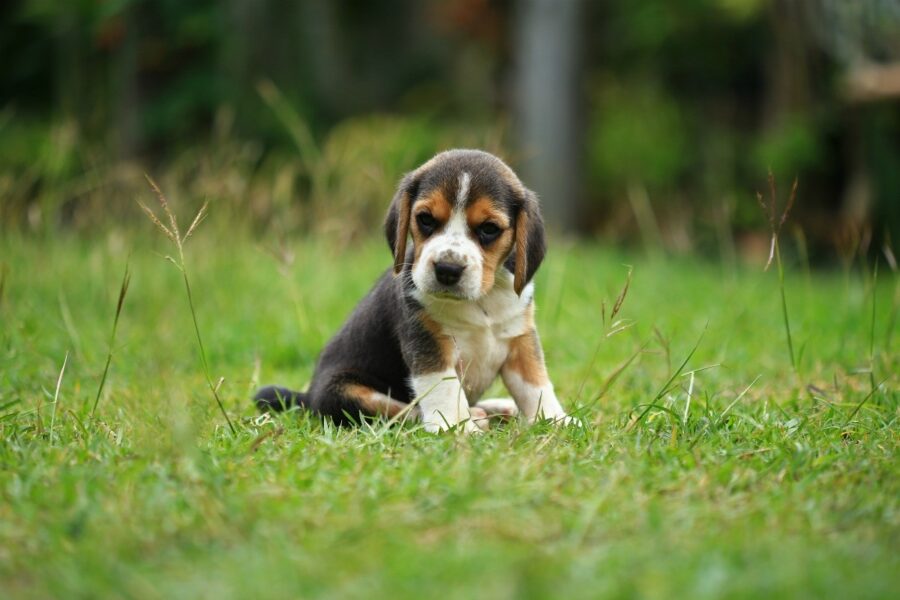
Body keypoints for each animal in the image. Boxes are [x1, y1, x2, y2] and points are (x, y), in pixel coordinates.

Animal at [253, 149, 576, 432]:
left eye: (489, 228)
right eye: (426, 219)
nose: (447, 269)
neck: (480, 301)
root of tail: (308, 396)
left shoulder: (521, 340)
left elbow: (536, 385)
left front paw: (556, 420)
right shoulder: (429, 342)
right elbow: (445, 390)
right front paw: (456, 428)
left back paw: (499, 407)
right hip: (345, 390)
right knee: (402, 413)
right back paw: (475, 416)